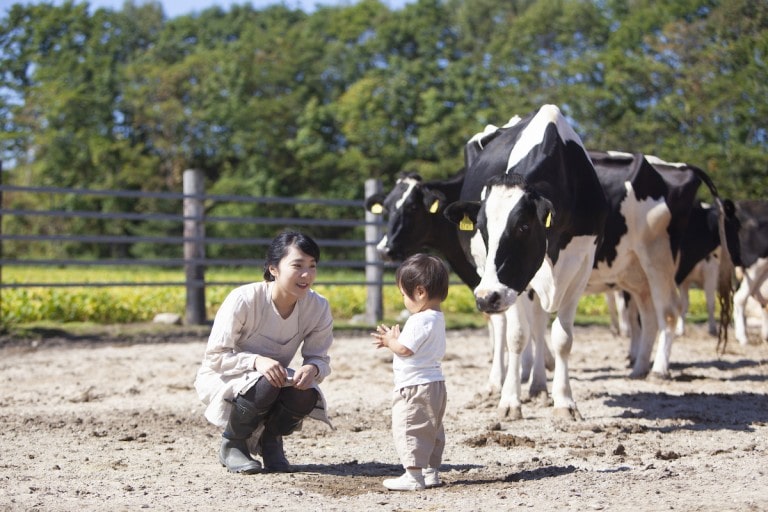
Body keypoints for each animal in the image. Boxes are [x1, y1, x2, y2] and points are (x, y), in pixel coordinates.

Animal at [440, 105, 608, 420]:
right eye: (481, 228)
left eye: (523, 226)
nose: (485, 298)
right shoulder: (511, 283)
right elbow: (516, 336)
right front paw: (510, 401)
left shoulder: (581, 265)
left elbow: (563, 337)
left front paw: (564, 402)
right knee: (502, 327)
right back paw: (496, 385)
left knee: (539, 323)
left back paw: (539, 387)